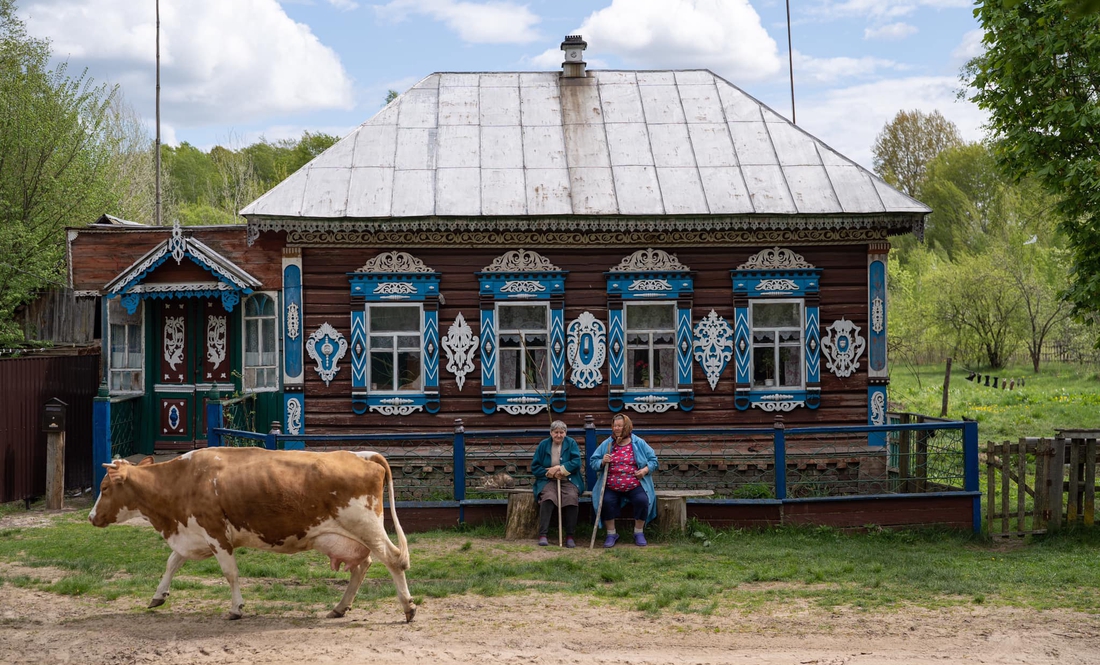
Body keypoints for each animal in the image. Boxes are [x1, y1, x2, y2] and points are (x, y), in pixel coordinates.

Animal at [89, 446, 415, 624]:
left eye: (104, 488)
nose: (91, 517)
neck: (182, 480)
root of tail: (361, 456)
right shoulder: (190, 533)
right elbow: (172, 563)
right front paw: (158, 596)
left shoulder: (216, 534)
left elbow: (230, 573)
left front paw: (236, 608)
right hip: (353, 535)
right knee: (363, 565)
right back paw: (340, 607)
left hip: (365, 526)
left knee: (393, 559)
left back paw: (408, 607)